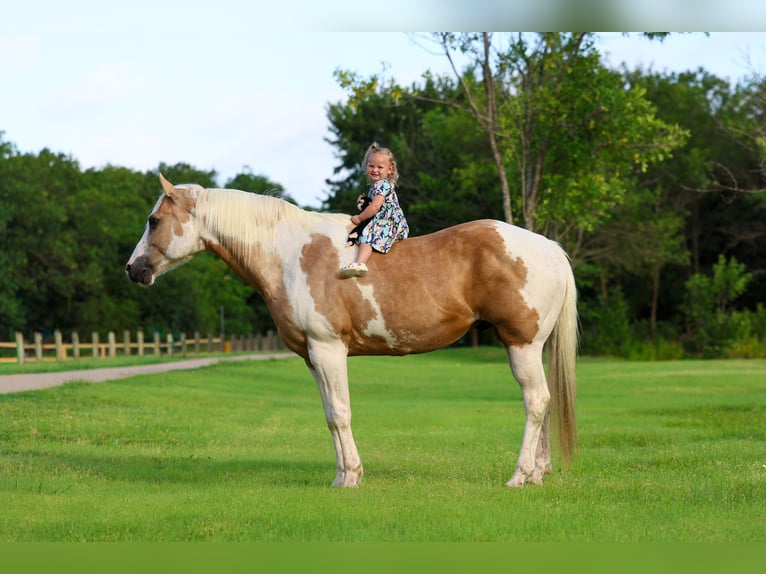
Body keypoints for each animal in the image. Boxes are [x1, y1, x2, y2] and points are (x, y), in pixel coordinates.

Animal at [126, 174, 578, 488]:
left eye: (154, 220)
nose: (133, 269)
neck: (291, 255)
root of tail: (551, 249)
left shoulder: (328, 350)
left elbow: (341, 414)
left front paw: (350, 478)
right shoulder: (313, 358)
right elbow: (330, 415)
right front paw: (341, 475)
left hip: (520, 344)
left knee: (536, 401)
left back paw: (518, 476)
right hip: (532, 347)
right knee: (544, 402)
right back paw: (538, 474)